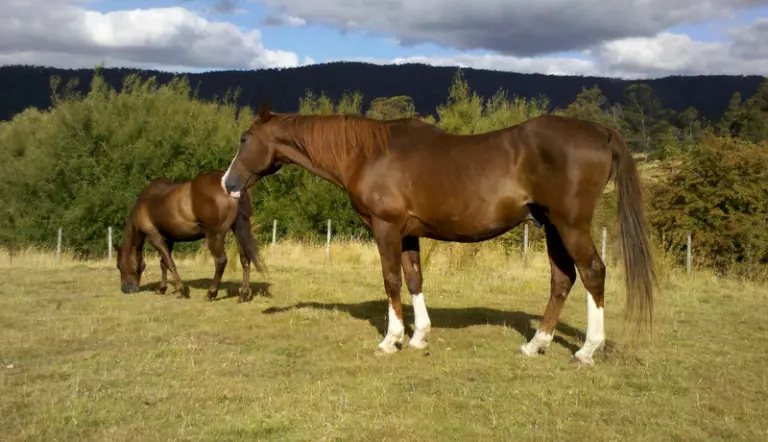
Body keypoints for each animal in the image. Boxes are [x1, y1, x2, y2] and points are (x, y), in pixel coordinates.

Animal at [114, 170, 265, 303]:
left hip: (214, 235)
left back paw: (211, 293)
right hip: (238, 230)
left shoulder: (154, 236)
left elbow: (169, 263)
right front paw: (162, 289)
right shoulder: (169, 239)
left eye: (119, 266)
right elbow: (164, 263)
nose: (126, 289)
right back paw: (243, 295)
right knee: (245, 259)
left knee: (220, 261)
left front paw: (181, 291)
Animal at [220, 104, 657, 365]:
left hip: (570, 224)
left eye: (244, 139)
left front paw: (391, 340)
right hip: (551, 226)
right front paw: (419, 337)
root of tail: (599, 131)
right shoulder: (409, 234)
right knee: (562, 279)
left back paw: (586, 350)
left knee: (593, 272)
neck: (368, 154)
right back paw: (536, 344)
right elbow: (414, 279)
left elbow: (391, 280)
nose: (228, 183)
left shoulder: (386, 228)